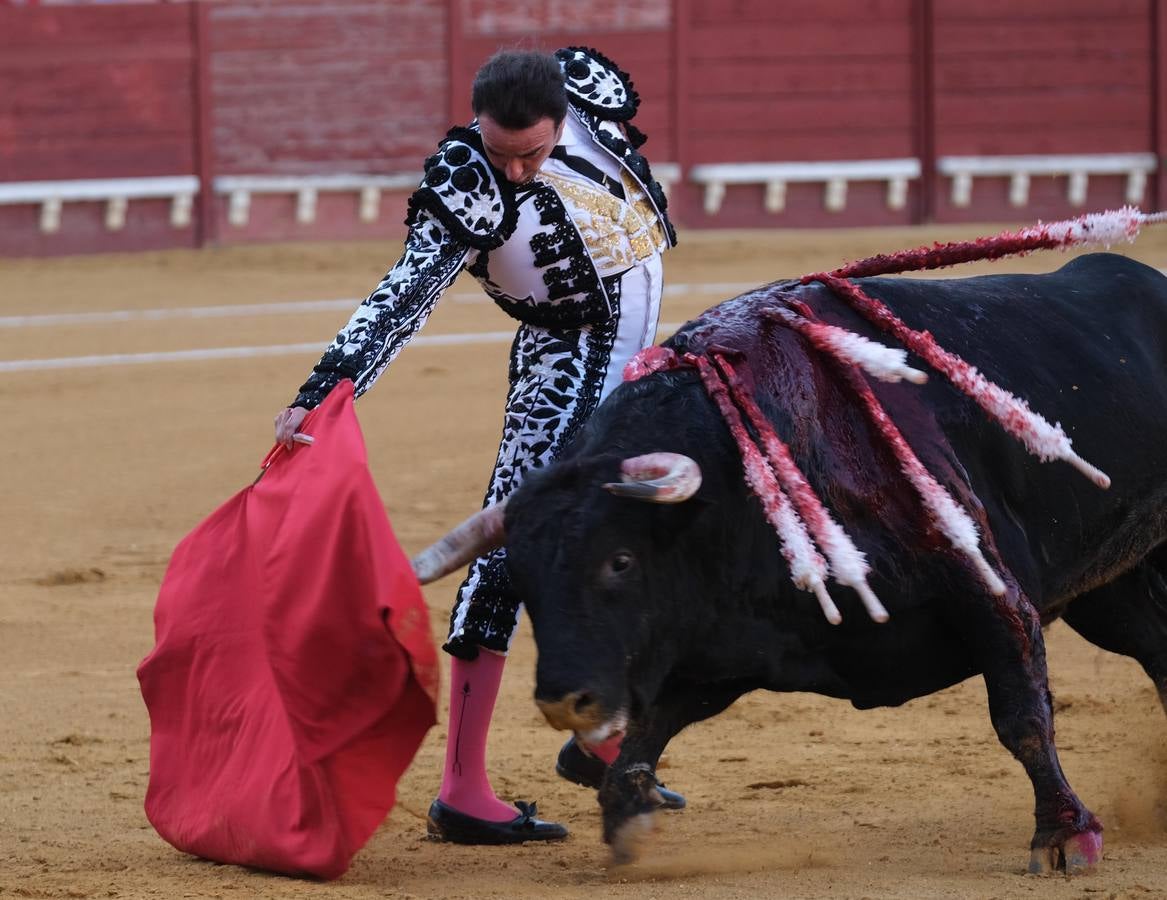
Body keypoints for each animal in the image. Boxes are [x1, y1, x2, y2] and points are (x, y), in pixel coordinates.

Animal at [415, 253, 1162, 873]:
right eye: (523, 578)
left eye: (619, 561)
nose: (564, 701)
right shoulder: (722, 649)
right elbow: (648, 729)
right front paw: (627, 818)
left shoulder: (984, 587)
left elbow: (1021, 716)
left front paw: (1063, 836)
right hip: (1111, 592)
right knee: (1155, 645)